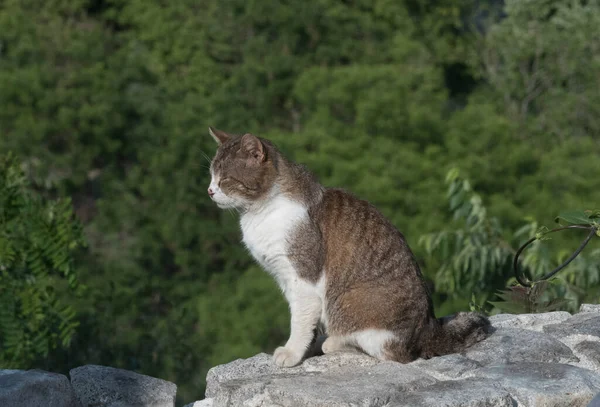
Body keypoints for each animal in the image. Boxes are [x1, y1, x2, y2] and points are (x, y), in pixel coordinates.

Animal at [205, 128, 488, 370]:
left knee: (387, 351)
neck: (262, 210)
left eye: (225, 179)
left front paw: (292, 352)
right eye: (211, 175)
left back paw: (335, 343)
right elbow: (308, 324)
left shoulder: (302, 278)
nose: (209, 191)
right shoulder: (284, 279)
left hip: (348, 301)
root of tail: (429, 329)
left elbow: (299, 321)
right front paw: (307, 349)